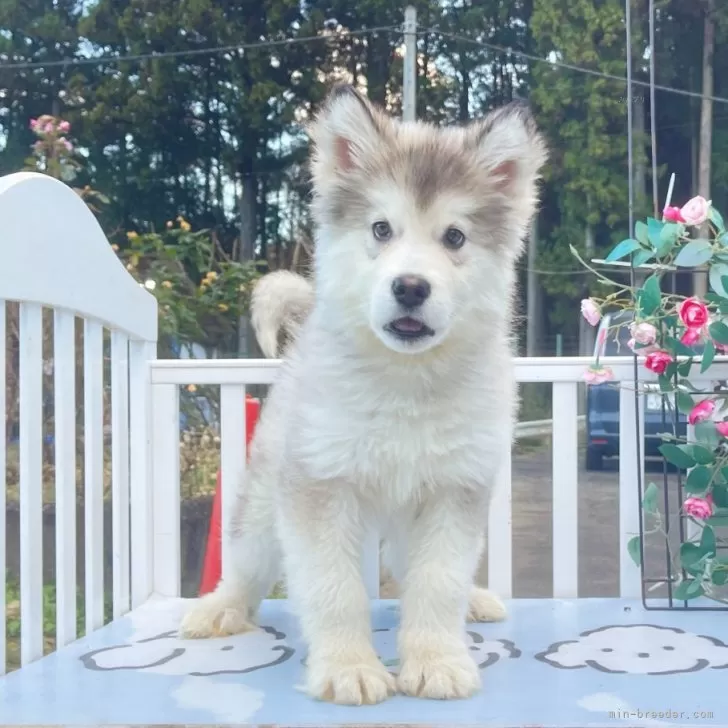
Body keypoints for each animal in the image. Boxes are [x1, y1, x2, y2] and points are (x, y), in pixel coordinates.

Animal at [182, 85, 544, 704]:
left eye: (454, 236)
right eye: (381, 229)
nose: (411, 287)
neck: (405, 382)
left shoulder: (454, 490)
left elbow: (437, 581)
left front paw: (436, 659)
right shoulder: (320, 486)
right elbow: (334, 588)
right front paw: (348, 667)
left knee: (407, 565)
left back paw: (472, 602)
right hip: (266, 498)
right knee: (249, 560)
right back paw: (221, 608)